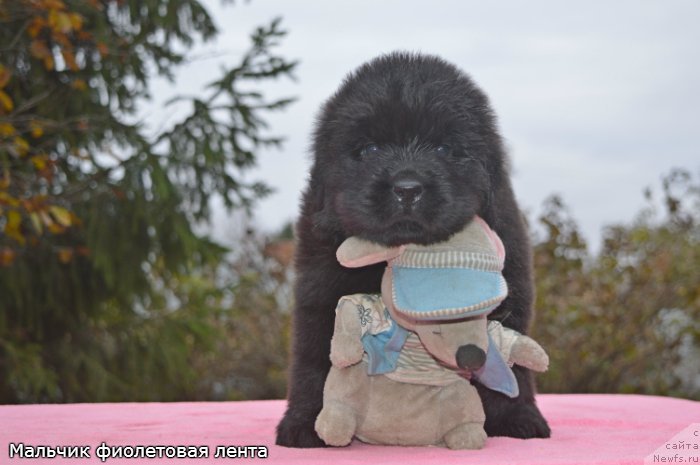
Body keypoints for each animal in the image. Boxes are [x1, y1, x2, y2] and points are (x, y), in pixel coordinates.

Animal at [276, 50, 548, 446]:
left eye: (443, 149)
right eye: (370, 149)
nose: (407, 188)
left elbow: (511, 362)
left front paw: (518, 417)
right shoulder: (320, 289)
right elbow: (316, 359)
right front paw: (304, 422)